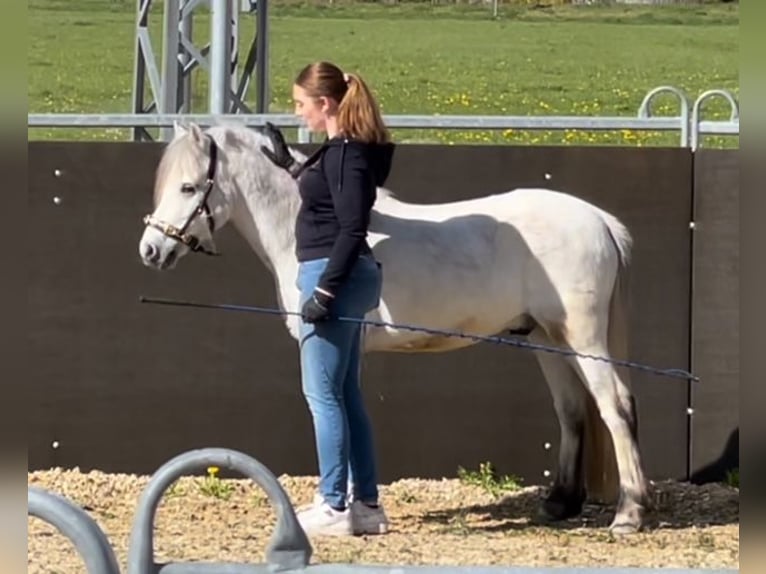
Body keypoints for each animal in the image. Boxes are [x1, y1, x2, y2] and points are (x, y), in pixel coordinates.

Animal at [140, 121, 656, 536]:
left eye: (188, 187)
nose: (150, 250)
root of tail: (599, 220)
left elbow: (339, 416)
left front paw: (344, 514)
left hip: (584, 340)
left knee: (616, 407)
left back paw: (629, 514)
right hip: (548, 339)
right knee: (572, 411)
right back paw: (559, 503)